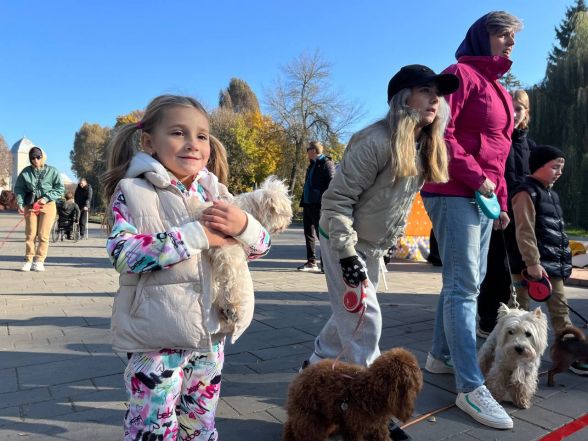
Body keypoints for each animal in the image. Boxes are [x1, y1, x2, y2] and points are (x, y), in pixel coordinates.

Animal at [282, 348, 420, 440]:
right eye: (414, 369)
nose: (420, 381)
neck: (371, 390)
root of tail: (303, 373)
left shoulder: (377, 427)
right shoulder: (355, 429)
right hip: (309, 415)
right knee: (300, 430)